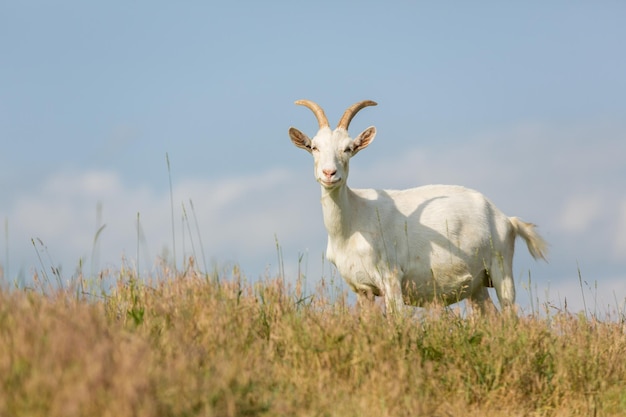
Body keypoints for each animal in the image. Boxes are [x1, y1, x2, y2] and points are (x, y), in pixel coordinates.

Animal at [288, 98, 544, 312]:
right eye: (314, 147)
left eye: (349, 148)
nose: (329, 173)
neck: (353, 222)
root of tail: (506, 219)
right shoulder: (362, 289)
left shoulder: (391, 278)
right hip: (478, 284)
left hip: (501, 269)